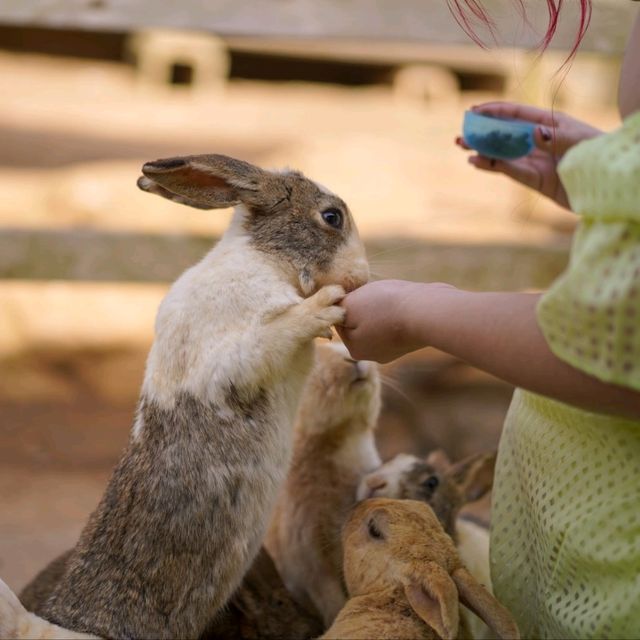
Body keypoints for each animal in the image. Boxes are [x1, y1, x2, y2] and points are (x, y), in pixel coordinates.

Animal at [12, 155, 368, 640]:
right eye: (331, 217)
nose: (361, 278)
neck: (265, 260)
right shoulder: (232, 358)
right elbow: (273, 335)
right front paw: (325, 308)